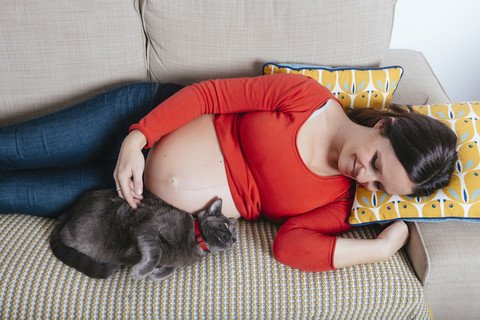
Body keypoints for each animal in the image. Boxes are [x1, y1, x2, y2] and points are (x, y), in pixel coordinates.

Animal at [49, 189, 235, 282]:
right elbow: (155, 254)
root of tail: (71, 210)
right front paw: (141, 272)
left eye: (234, 234)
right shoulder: (149, 229)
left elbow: (171, 269)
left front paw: (156, 274)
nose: (234, 239)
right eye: (226, 225)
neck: (196, 240)